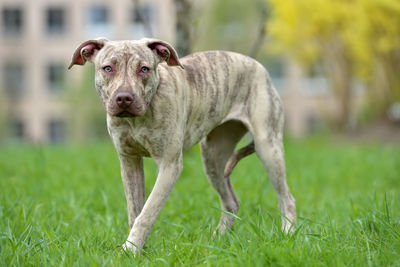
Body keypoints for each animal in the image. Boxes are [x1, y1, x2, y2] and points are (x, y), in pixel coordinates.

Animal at [68, 37, 296, 253]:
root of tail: (258, 66)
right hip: (213, 157)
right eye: (108, 68)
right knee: (231, 202)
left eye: (144, 69)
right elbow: (135, 210)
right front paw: (138, 249)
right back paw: (218, 240)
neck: (138, 118)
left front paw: (130, 249)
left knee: (286, 198)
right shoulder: (129, 162)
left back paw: (288, 234)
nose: (124, 98)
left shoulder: (169, 165)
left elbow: (148, 211)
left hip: (268, 146)